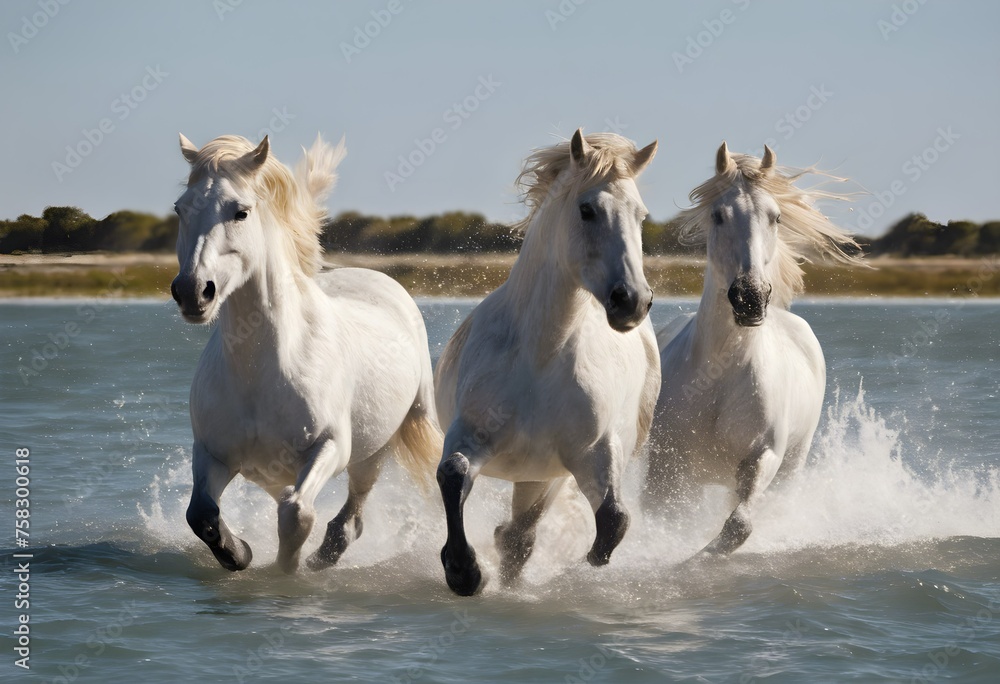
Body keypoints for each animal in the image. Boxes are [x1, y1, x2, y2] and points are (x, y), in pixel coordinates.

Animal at [170, 133, 441, 573]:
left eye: (240, 212)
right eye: (180, 208)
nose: (193, 291)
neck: (261, 372)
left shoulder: (329, 447)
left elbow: (296, 514)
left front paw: (285, 573)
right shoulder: (213, 453)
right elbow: (201, 514)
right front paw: (240, 553)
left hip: (376, 449)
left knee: (351, 516)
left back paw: (323, 558)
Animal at [433, 129, 661, 595]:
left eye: (641, 216)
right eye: (587, 210)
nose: (632, 300)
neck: (539, 358)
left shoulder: (594, 453)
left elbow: (613, 521)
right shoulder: (469, 434)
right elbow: (452, 473)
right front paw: (463, 572)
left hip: (544, 477)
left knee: (520, 537)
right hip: (530, 475)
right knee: (514, 535)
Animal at [646, 142, 863, 554]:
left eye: (775, 217)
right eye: (718, 215)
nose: (750, 299)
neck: (721, 376)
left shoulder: (764, 456)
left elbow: (738, 526)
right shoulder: (667, 468)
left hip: (790, 469)